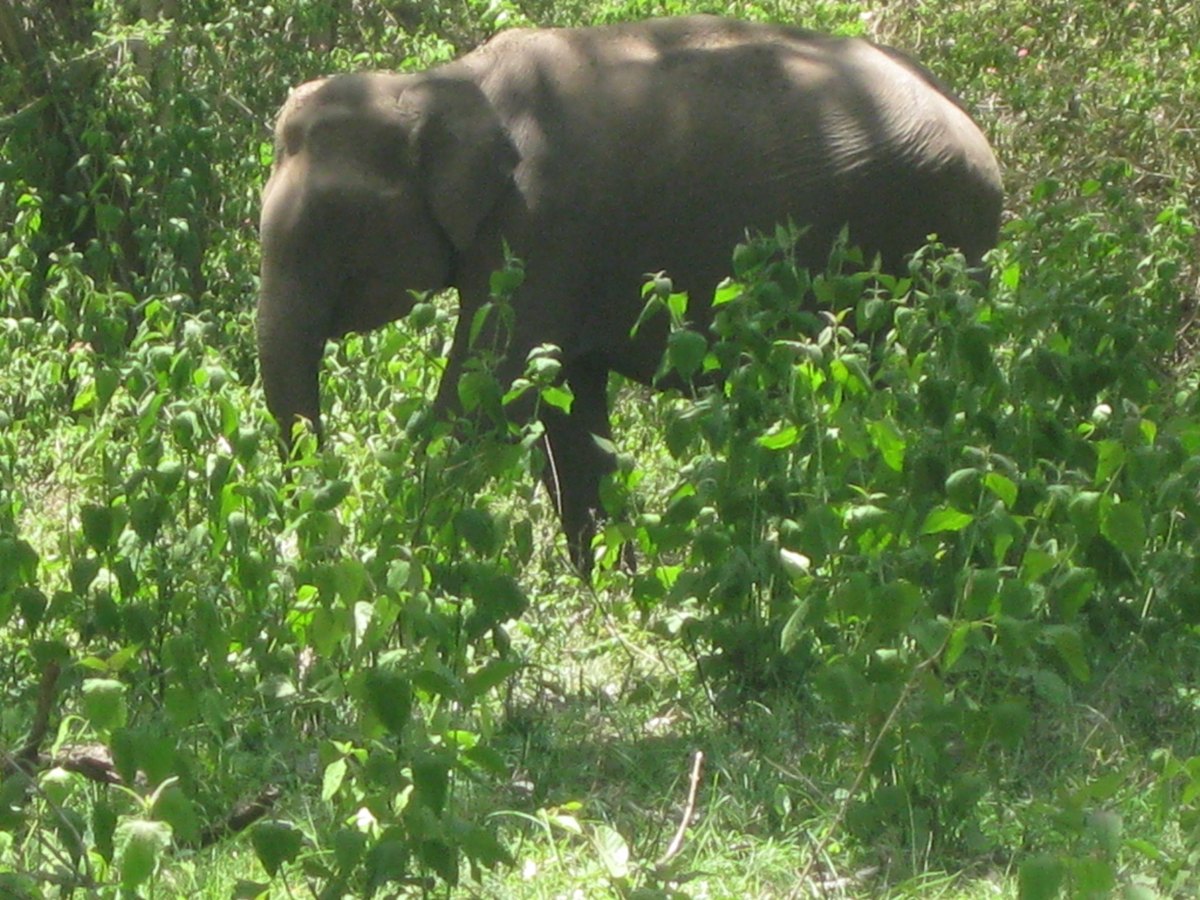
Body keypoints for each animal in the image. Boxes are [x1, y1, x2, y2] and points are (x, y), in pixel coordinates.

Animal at [260, 14, 1003, 573]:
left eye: (331, 222)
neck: (444, 82)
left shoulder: (540, 227)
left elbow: (485, 393)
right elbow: (567, 418)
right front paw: (613, 594)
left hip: (921, 240)